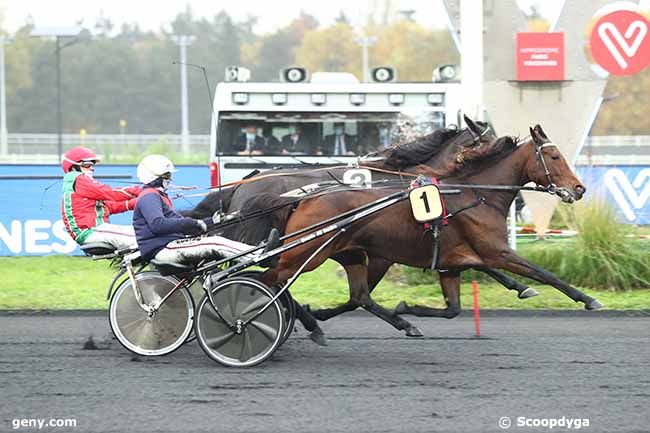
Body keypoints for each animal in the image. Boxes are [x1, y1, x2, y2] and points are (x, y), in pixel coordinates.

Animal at [256, 123, 596, 336]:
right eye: (554, 156)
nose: (579, 189)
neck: (475, 193)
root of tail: (302, 198)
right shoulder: (497, 252)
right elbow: (544, 273)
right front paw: (587, 299)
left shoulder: (451, 264)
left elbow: (454, 308)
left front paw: (407, 308)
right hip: (307, 254)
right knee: (269, 280)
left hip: (347, 254)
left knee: (358, 296)